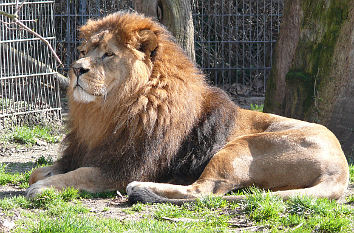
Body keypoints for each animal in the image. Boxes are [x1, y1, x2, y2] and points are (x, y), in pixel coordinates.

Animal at [25, 11, 348, 203]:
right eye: (83, 51)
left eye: (108, 54)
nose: (76, 69)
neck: (108, 110)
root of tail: (341, 168)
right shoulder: (87, 150)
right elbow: (40, 170)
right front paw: (44, 177)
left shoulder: (124, 167)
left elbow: (80, 174)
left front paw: (44, 188)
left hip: (241, 146)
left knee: (205, 192)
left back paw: (142, 189)